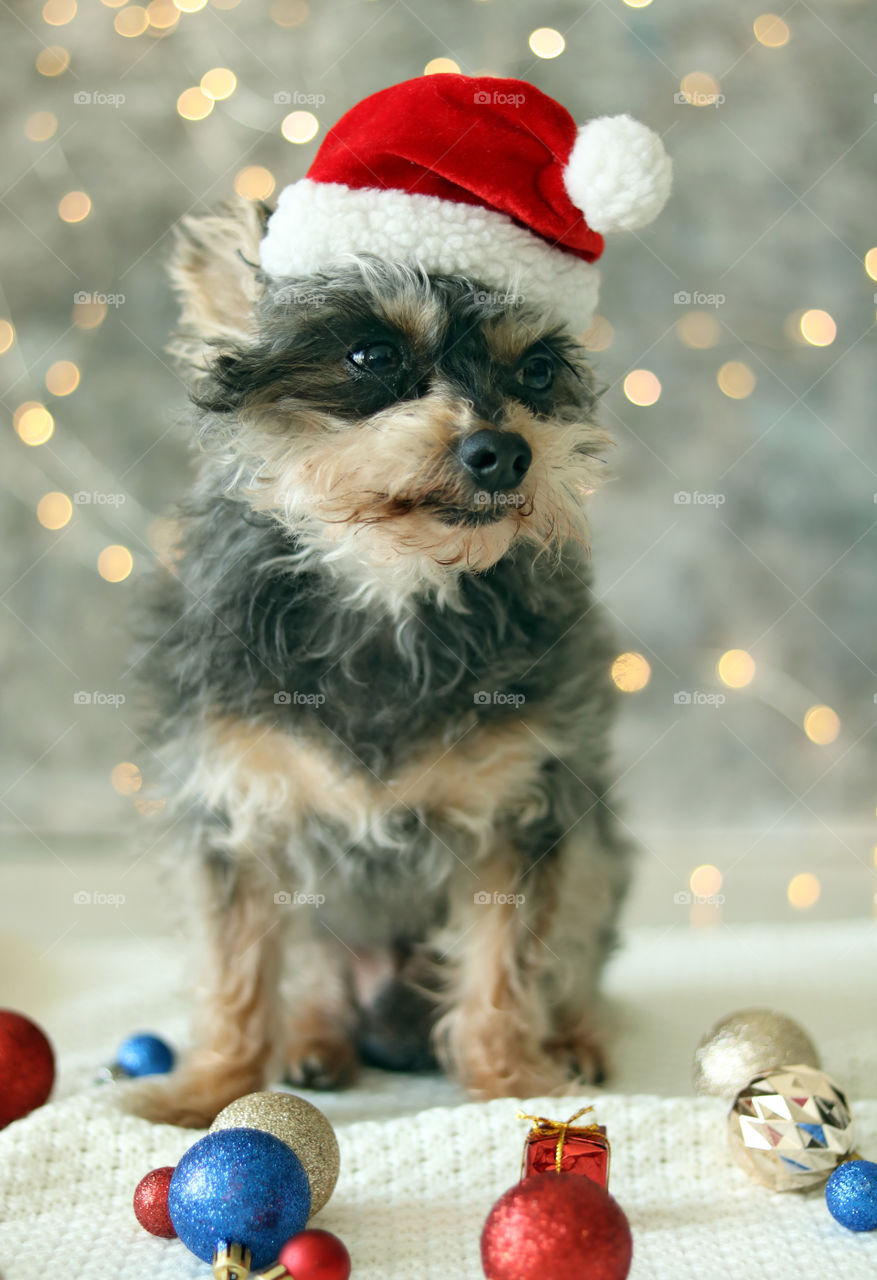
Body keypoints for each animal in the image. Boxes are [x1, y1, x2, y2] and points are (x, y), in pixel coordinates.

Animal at [124, 77, 670, 1131]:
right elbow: (233, 969)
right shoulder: (238, 810)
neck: (390, 587)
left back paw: (575, 1042)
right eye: (371, 355)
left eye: (536, 370)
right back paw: (315, 1043)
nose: (504, 450)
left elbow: (504, 967)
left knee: (577, 962)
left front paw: (512, 1083)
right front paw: (208, 1087)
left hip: (595, 859)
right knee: (308, 981)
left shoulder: (522, 813)